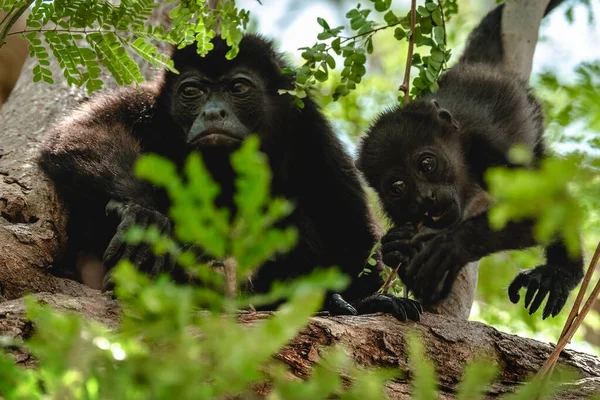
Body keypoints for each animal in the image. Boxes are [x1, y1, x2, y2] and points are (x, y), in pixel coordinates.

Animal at [38, 34, 422, 322]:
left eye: (238, 87)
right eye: (192, 91)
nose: (213, 112)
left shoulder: (314, 133)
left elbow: (350, 231)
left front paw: (368, 300)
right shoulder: (146, 103)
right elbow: (81, 134)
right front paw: (143, 214)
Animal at [356, 0, 580, 318]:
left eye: (427, 165)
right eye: (398, 187)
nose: (425, 197)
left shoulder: (484, 151)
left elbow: (543, 203)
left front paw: (452, 243)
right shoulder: (398, 212)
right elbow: (432, 291)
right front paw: (395, 248)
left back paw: (561, 273)